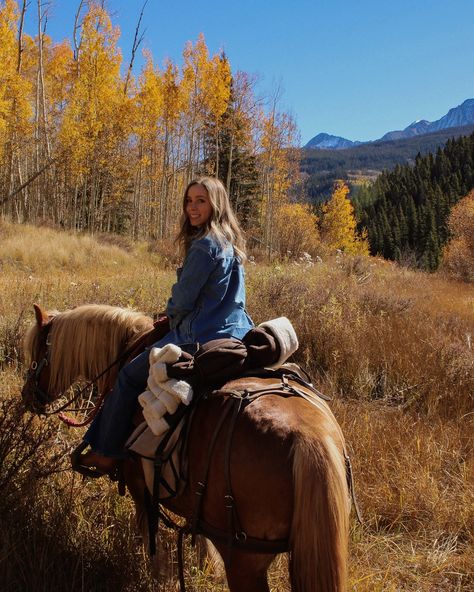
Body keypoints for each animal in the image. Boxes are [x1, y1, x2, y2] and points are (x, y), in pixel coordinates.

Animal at [21, 302, 348, 588]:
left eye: (37, 351)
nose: (28, 396)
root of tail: (308, 437)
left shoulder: (140, 485)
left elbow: (147, 530)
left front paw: (156, 573)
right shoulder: (195, 504)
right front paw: (205, 567)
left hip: (245, 561)